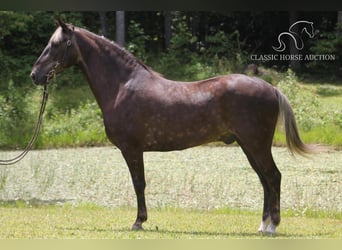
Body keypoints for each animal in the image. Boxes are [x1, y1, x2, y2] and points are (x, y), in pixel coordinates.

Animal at [30, 19, 314, 234]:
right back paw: (263, 224)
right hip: (248, 145)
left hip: (257, 145)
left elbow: (139, 183)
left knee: (273, 177)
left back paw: (272, 225)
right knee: (264, 179)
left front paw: (138, 222)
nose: (35, 75)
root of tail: (272, 88)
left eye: (56, 44)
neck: (122, 85)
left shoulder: (132, 149)